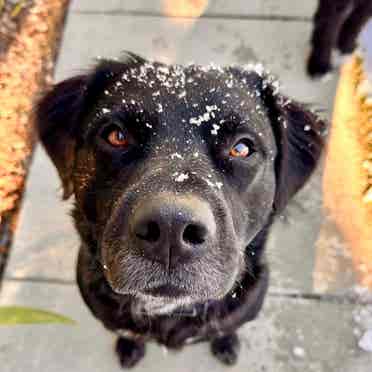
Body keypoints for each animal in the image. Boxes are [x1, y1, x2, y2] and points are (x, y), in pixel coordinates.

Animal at [35, 53, 326, 370]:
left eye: (241, 148)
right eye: (116, 135)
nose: (170, 228)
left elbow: (225, 328)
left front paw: (226, 343)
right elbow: (128, 332)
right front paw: (129, 346)